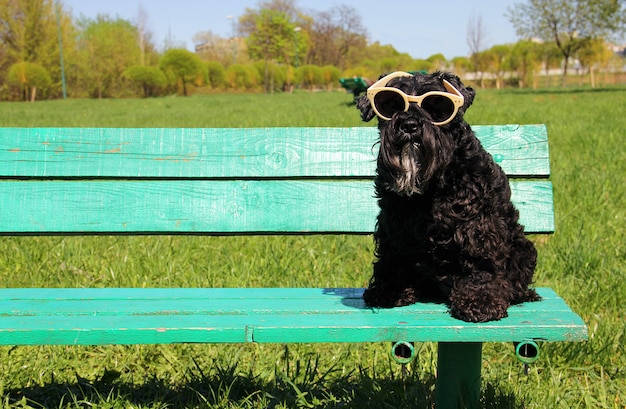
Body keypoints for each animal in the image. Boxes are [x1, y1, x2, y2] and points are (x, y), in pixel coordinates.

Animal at [358, 71, 540, 322]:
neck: (432, 185)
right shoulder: (393, 221)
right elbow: (391, 256)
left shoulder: (479, 224)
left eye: (436, 104)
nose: (409, 125)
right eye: (390, 103)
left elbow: (480, 259)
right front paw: (389, 290)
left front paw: (480, 300)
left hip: (524, 249)